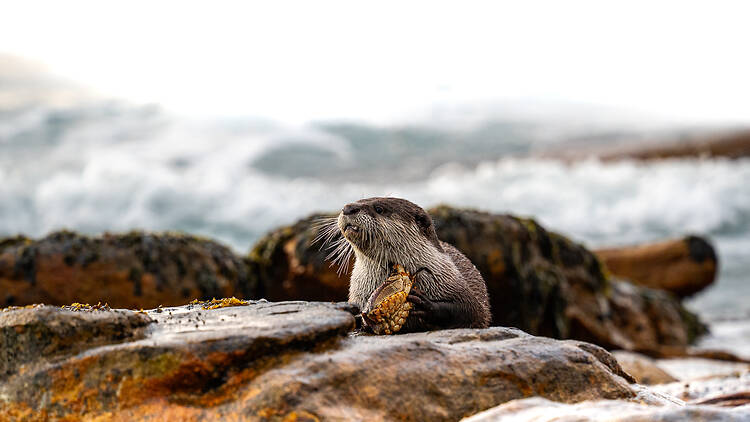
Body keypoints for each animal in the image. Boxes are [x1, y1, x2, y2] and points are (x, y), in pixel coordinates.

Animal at [318, 197, 491, 332]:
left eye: (379, 208)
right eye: (359, 200)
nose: (348, 208)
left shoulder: (454, 284)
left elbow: (472, 311)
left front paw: (424, 304)